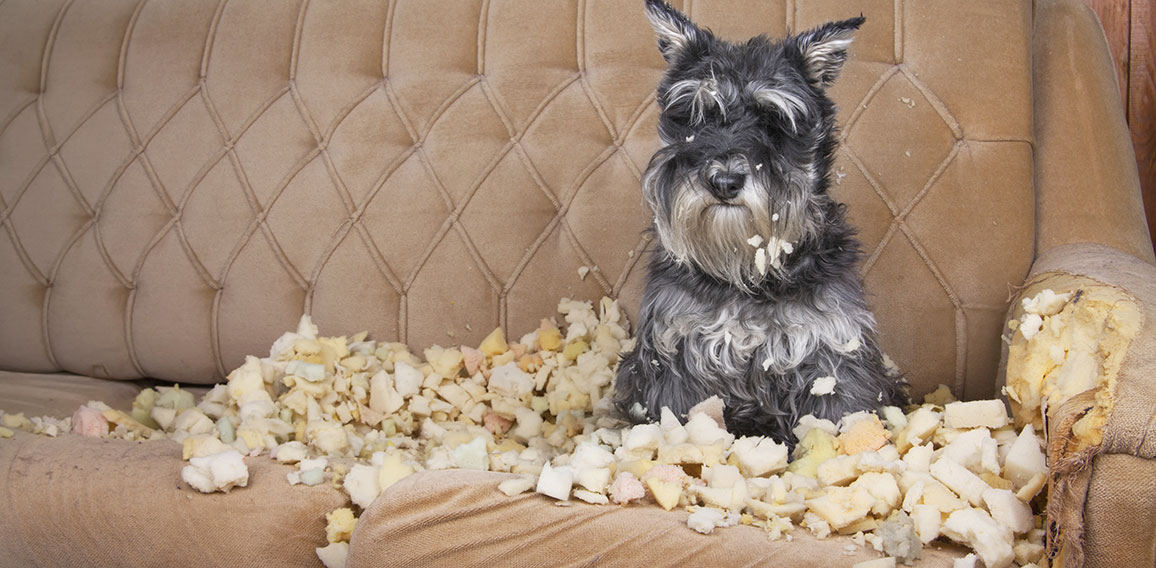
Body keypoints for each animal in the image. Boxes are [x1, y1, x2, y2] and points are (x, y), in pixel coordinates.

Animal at [619, 0, 906, 444]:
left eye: (775, 122)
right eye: (697, 116)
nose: (724, 181)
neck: (748, 274)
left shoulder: (832, 356)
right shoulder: (674, 356)